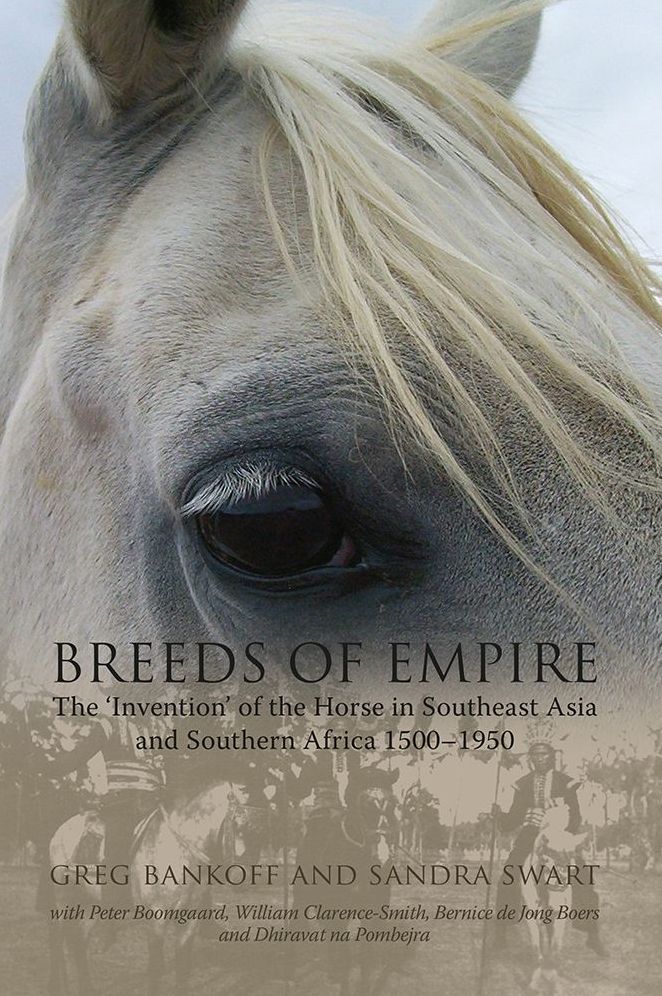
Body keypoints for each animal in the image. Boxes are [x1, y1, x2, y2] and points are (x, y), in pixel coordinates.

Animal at [47, 778, 266, 996]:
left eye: (264, 830)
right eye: (240, 825)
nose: (245, 878)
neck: (178, 851)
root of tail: (60, 831)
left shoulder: (189, 920)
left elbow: (183, 966)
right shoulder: (156, 919)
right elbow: (156, 968)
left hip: (90, 905)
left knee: (79, 943)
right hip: (65, 902)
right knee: (59, 945)